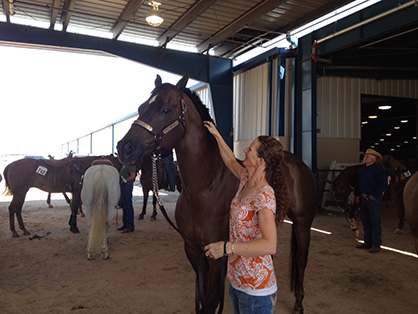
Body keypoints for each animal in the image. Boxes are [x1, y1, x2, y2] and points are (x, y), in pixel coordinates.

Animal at [116, 73, 316, 312]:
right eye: (141, 107)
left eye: (165, 109)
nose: (124, 148)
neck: (205, 188)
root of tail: (298, 164)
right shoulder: (194, 250)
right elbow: (203, 299)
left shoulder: (217, 256)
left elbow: (211, 303)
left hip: (303, 223)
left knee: (301, 261)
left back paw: (299, 303)